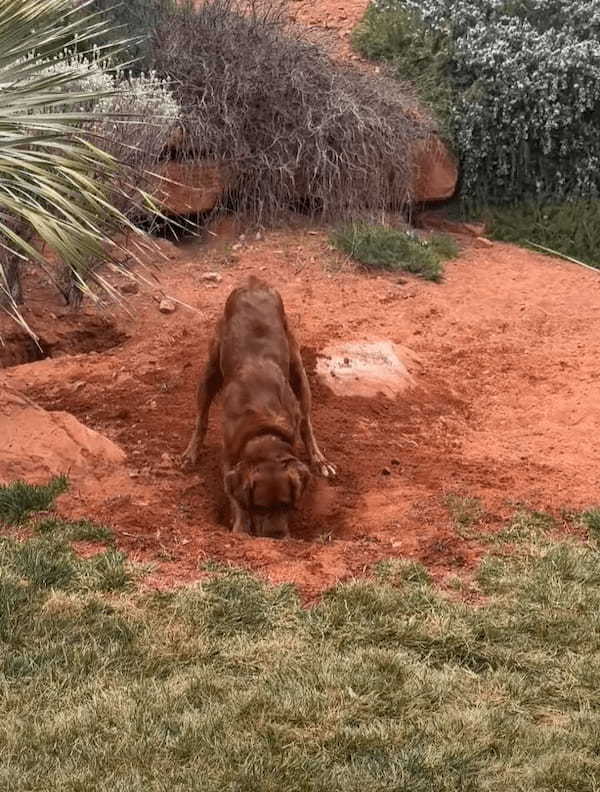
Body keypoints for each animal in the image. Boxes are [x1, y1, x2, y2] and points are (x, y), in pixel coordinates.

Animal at [180, 274, 336, 540]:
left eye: (286, 505)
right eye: (259, 507)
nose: (276, 537)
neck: (263, 429)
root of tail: (254, 283)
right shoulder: (229, 460)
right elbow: (235, 499)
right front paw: (241, 527)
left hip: (298, 370)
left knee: (307, 423)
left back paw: (320, 460)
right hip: (210, 371)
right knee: (201, 418)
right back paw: (191, 453)